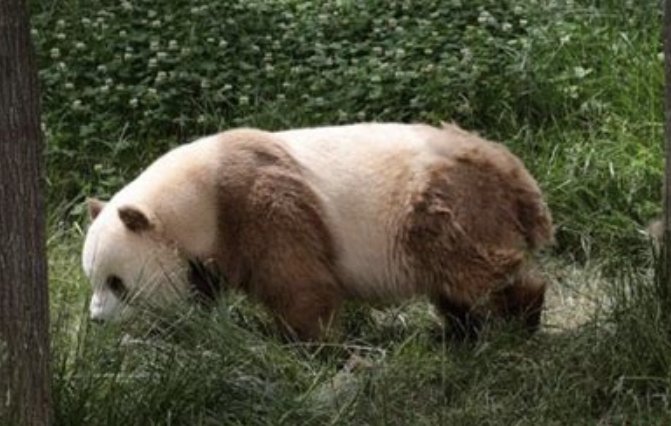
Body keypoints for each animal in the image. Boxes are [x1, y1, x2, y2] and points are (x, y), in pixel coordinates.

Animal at [82, 122, 554, 340]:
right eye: (93, 279)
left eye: (117, 282)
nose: (97, 321)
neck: (198, 194)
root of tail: (510, 168)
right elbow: (202, 291)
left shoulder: (258, 202)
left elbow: (298, 280)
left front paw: (304, 343)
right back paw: (460, 331)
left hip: (443, 202)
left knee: (474, 267)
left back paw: (518, 320)